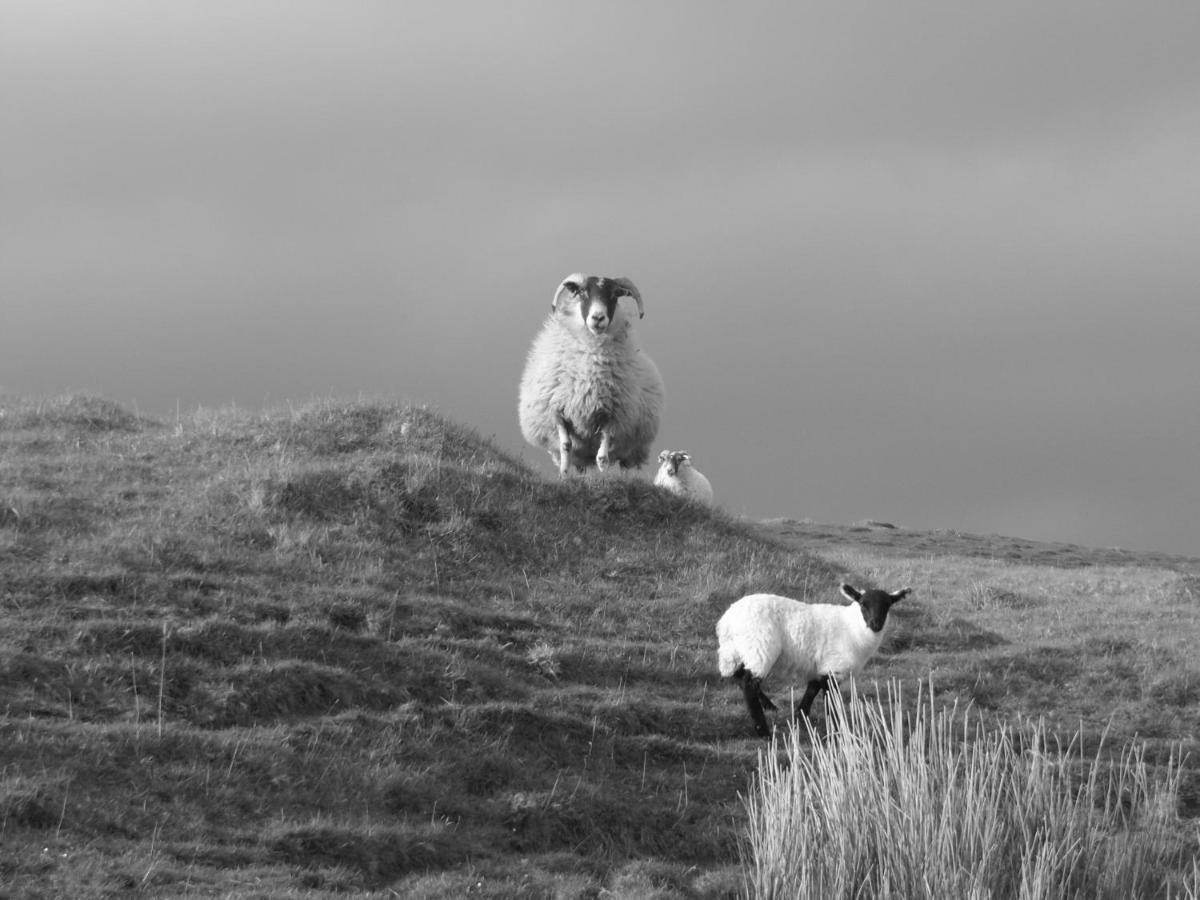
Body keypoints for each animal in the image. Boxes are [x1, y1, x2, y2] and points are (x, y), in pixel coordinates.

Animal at [516, 273, 667, 475]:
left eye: (615, 294)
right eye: (582, 292)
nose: (598, 317)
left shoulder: (613, 415)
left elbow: (602, 456)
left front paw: (604, 476)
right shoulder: (557, 411)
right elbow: (565, 445)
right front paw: (564, 475)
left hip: (633, 447)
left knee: (624, 464)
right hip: (582, 453)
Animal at [710, 585, 907, 739]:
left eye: (888, 605)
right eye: (863, 604)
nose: (876, 624)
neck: (852, 628)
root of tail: (727, 621)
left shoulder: (821, 666)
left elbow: (812, 689)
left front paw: (800, 715)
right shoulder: (834, 667)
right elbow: (831, 701)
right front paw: (837, 731)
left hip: (735, 650)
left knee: (738, 675)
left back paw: (770, 707)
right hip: (759, 647)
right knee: (749, 683)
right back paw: (763, 731)